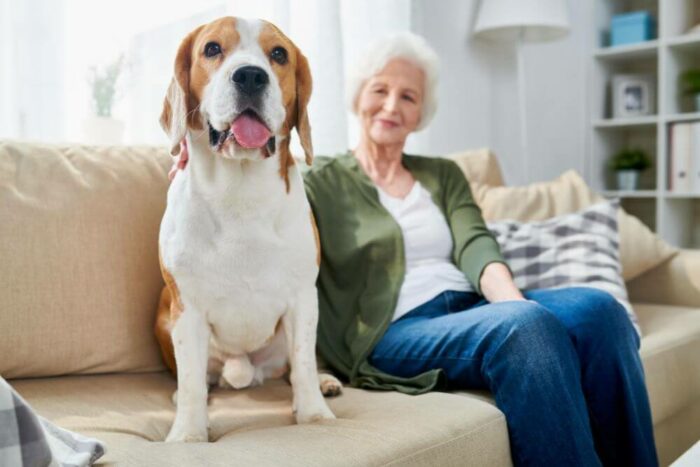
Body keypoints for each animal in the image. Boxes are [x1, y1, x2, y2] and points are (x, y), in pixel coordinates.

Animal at [155, 17, 340, 442]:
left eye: (279, 54)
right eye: (211, 48)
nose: (251, 76)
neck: (239, 192)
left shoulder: (303, 298)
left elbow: (303, 362)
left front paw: (313, 415)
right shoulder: (186, 309)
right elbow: (191, 380)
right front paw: (188, 433)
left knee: (293, 368)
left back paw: (324, 382)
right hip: (162, 316)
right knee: (200, 378)